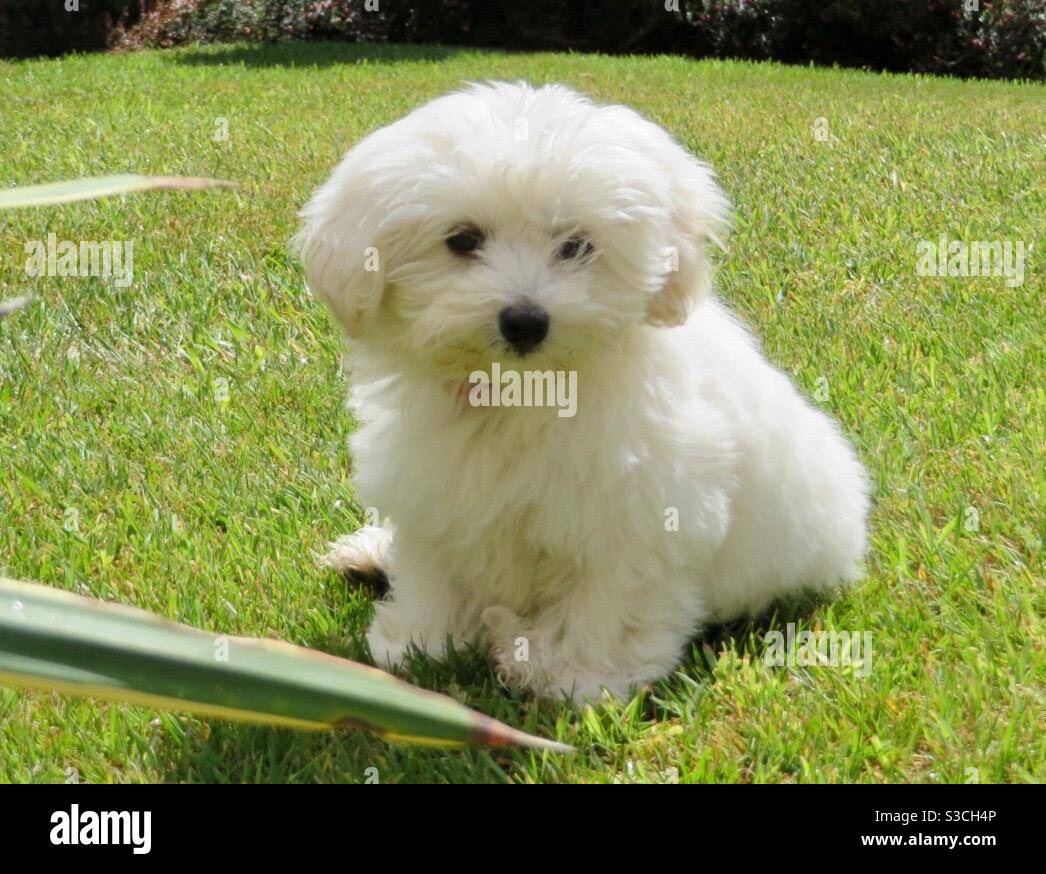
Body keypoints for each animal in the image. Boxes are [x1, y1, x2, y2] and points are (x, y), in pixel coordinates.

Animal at [292, 79, 866, 698]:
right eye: (462, 240)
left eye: (576, 245)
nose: (525, 320)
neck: (525, 395)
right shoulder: (436, 489)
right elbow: (435, 569)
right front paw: (418, 643)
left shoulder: (642, 513)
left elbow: (609, 602)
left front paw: (573, 675)